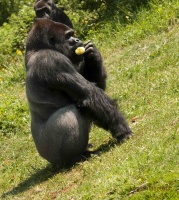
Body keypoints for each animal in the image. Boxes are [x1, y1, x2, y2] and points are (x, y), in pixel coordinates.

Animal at [24, 18, 132, 166]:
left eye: (72, 34)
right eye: (68, 36)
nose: (77, 39)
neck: (36, 49)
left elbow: (94, 91)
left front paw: (93, 55)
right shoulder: (53, 60)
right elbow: (90, 94)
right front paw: (123, 131)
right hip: (53, 155)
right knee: (71, 111)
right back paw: (76, 158)